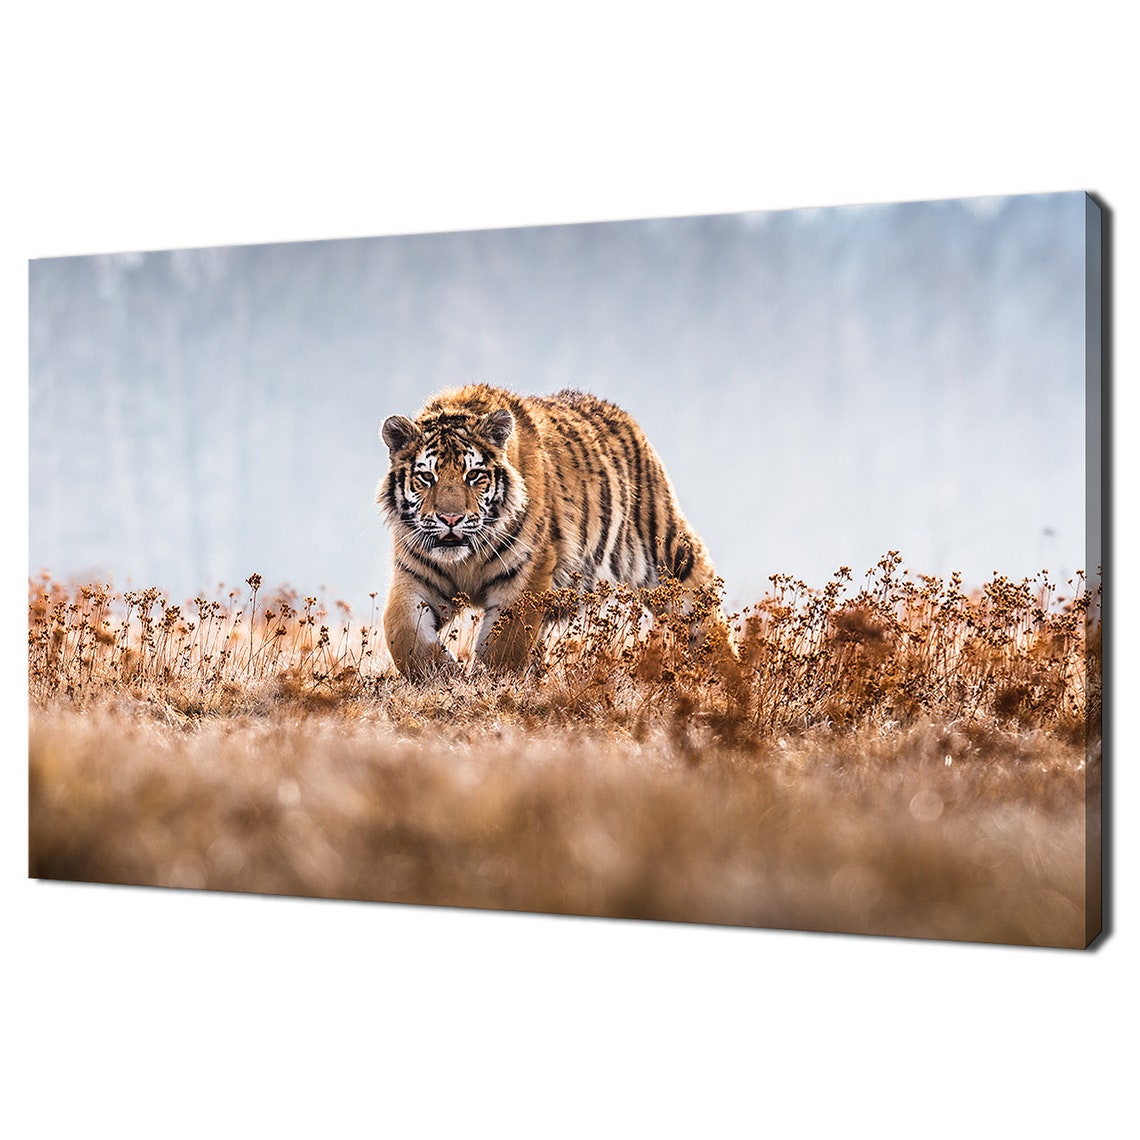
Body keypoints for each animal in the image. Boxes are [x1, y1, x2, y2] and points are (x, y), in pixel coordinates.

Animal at [377, 383, 726, 676]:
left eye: (474, 475)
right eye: (427, 477)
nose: (451, 518)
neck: (466, 559)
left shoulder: (527, 570)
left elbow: (506, 642)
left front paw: (487, 681)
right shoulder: (414, 573)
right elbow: (400, 630)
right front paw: (439, 672)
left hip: (669, 554)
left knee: (704, 611)